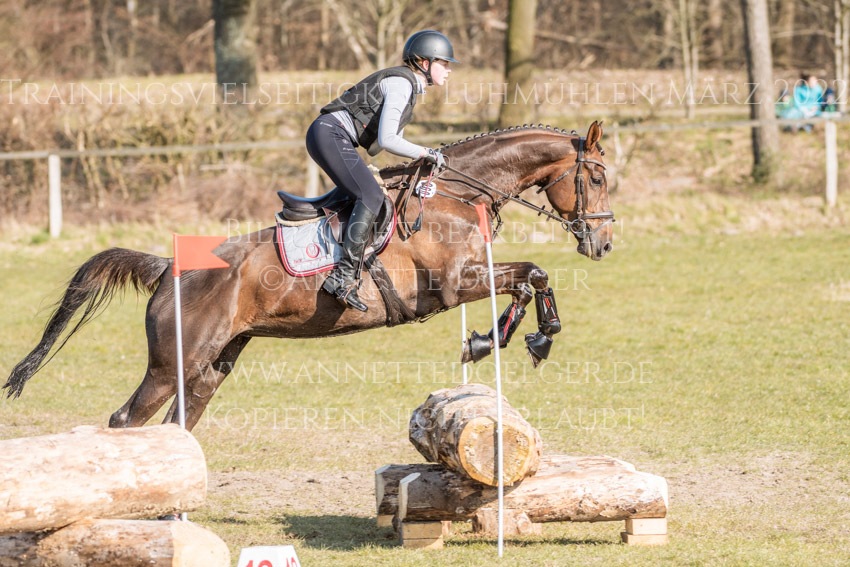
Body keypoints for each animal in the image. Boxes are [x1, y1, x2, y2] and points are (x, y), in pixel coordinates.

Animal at [4, 122, 615, 431]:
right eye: (599, 177)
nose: (603, 244)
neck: (455, 194)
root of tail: (169, 268)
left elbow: (530, 278)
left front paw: (506, 339)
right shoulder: (450, 284)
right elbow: (532, 274)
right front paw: (520, 338)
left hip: (213, 365)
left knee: (177, 424)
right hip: (171, 363)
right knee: (127, 420)